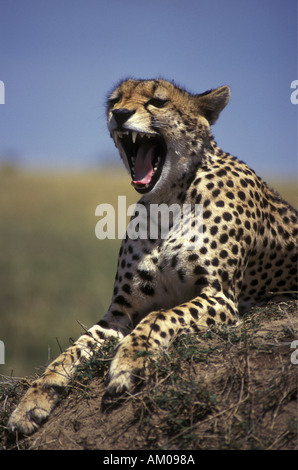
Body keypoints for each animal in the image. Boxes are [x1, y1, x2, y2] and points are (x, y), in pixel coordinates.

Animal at [8, 77, 296, 434]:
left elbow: (161, 315)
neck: (168, 198)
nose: (120, 114)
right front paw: (32, 400)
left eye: (157, 102)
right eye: (115, 100)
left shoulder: (221, 297)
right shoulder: (119, 313)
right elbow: (72, 351)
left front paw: (129, 361)